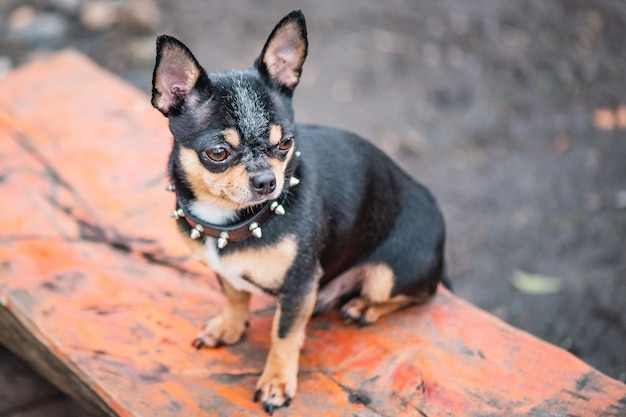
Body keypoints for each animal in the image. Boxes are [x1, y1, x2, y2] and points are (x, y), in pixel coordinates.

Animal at [151, 8, 444, 412]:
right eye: (218, 153)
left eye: (286, 143)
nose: (266, 181)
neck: (234, 221)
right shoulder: (224, 270)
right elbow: (234, 294)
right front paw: (229, 326)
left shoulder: (299, 285)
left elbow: (284, 335)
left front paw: (276, 382)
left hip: (390, 274)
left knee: (417, 294)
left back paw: (363, 307)